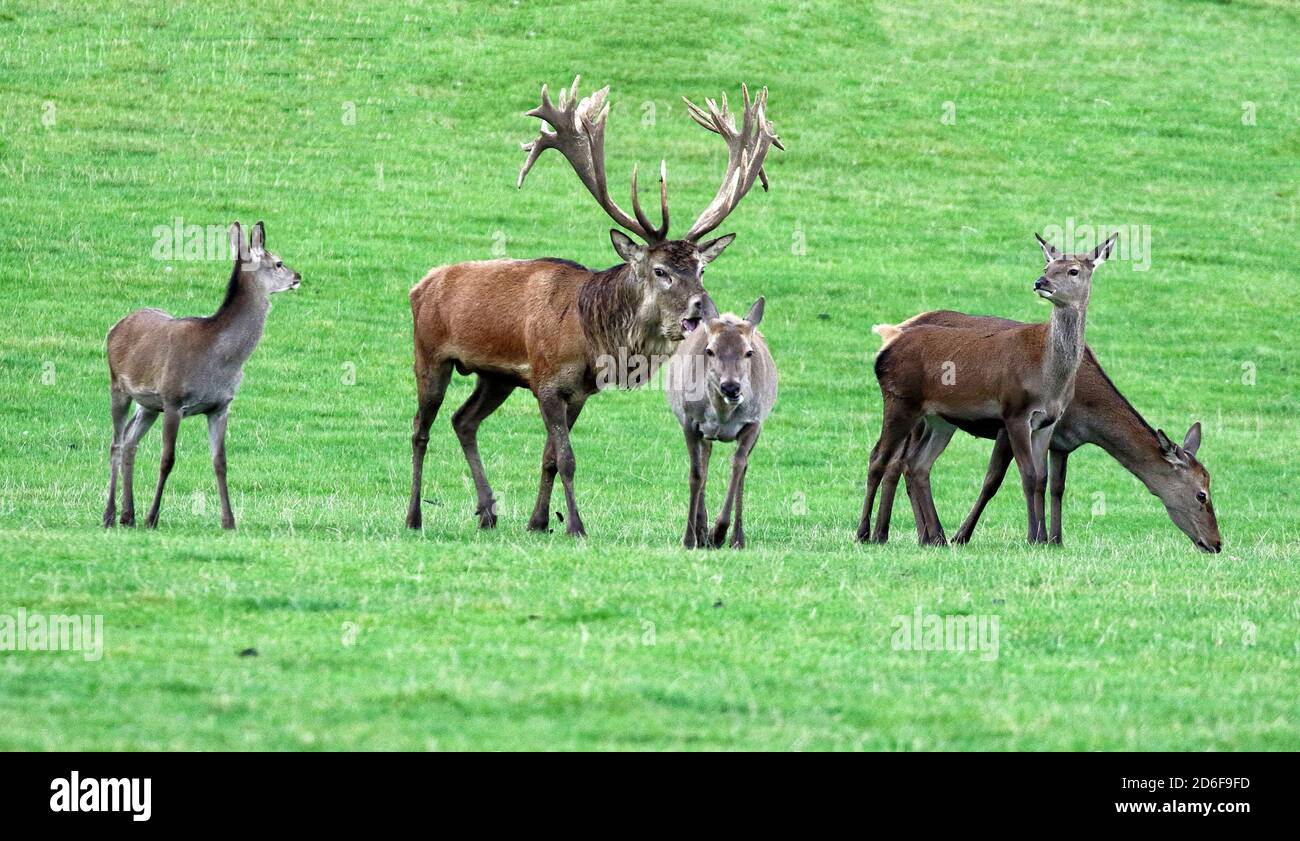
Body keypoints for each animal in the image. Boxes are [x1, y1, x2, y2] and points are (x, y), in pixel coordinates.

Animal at [102, 220, 300, 530]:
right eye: (278, 262)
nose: (298, 276)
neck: (218, 360)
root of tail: (114, 327)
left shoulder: (220, 406)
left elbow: (220, 462)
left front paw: (229, 521)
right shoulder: (173, 399)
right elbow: (167, 460)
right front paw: (152, 517)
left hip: (148, 404)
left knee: (131, 442)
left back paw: (128, 514)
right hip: (119, 387)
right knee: (117, 443)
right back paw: (110, 514)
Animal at [665, 297, 774, 553]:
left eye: (748, 352)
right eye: (710, 350)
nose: (731, 387)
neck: (723, 414)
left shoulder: (755, 422)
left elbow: (738, 465)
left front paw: (720, 533)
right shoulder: (689, 420)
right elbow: (696, 474)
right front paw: (690, 538)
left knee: (741, 466)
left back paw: (736, 538)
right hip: (704, 432)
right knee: (705, 460)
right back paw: (701, 530)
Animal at [857, 233, 1123, 545]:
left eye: (1073, 270)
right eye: (1046, 267)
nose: (1040, 282)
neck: (1049, 377)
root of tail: (885, 346)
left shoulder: (1047, 422)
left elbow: (1041, 479)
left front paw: (1043, 538)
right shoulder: (1015, 412)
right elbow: (1027, 475)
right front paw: (1032, 537)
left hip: (937, 418)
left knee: (916, 464)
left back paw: (935, 537)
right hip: (900, 399)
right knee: (878, 457)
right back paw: (865, 533)